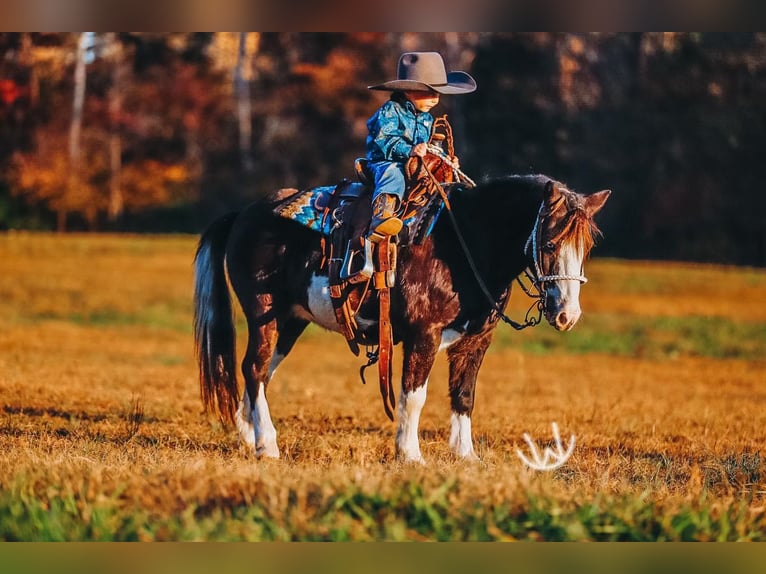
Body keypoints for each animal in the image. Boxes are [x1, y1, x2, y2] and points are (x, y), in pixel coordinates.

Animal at [193, 174, 610, 463]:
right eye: (550, 243)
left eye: (586, 247)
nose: (567, 314)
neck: (463, 246)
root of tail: (245, 214)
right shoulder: (423, 335)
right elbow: (414, 395)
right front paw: (410, 454)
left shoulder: (476, 341)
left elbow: (464, 395)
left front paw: (466, 455)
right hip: (264, 315)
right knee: (254, 367)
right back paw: (267, 444)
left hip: (291, 322)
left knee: (261, 373)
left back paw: (249, 433)